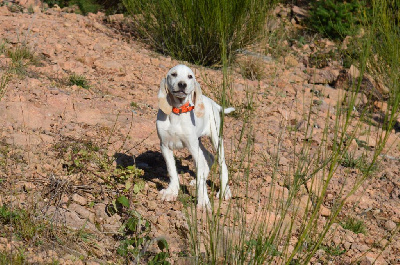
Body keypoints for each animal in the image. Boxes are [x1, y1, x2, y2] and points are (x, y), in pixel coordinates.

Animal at [155, 63, 233, 206]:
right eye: (173, 74)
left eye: (190, 76)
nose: (182, 84)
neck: (177, 112)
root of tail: (213, 103)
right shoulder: (165, 146)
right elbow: (171, 170)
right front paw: (171, 192)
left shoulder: (192, 147)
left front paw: (203, 202)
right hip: (198, 141)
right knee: (208, 157)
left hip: (215, 139)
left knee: (221, 164)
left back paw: (224, 191)